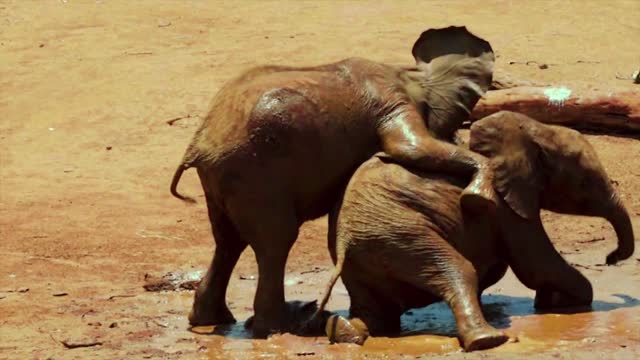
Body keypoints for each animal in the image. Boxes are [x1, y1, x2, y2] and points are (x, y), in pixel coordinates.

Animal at [172, 26, 498, 336]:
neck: (408, 72)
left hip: (224, 177)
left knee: (228, 241)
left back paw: (216, 320)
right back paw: (280, 325)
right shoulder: (392, 99)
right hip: (255, 174)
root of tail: (199, 143)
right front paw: (481, 195)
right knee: (275, 243)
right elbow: (410, 148)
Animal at [312, 110, 636, 352]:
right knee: (459, 270)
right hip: (400, 235)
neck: (529, 133)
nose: (610, 258)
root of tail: (345, 239)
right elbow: (536, 266)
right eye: (585, 183)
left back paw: (344, 333)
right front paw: (566, 301)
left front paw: (551, 302)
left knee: (375, 312)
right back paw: (489, 340)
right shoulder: (505, 206)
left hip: (365, 258)